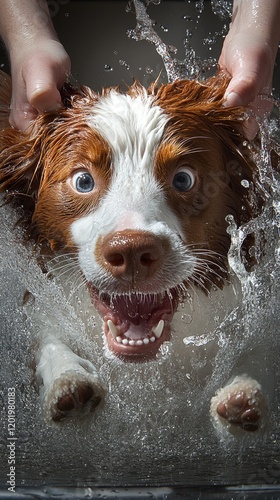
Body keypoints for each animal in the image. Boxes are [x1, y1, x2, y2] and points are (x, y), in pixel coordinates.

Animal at [0, 70, 264, 430]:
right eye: (83, 181)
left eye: (183, 179)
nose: (131, 251)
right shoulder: (39, 306)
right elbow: (49, 340)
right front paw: (68, 379)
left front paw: (241, 388)